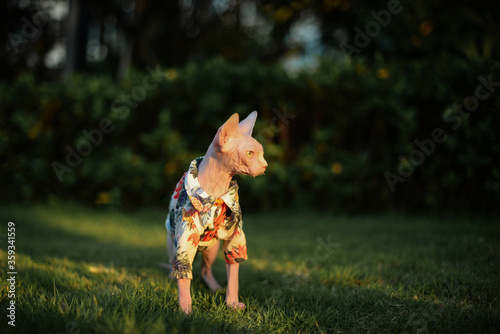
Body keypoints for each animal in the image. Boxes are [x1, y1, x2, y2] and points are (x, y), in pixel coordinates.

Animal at [165, 111, 268, 314]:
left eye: (261, 153)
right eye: (249, 154)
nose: (265, 165)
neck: (217, 190)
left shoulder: (235, 237)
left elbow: (233, 272)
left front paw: (232, 303)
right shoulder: (185, 237)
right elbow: (184, 275)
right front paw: (185, 309)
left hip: (211, 249)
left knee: (205, 269)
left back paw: (214, 288)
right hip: (174, 244)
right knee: (176, 267)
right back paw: (172, 280)